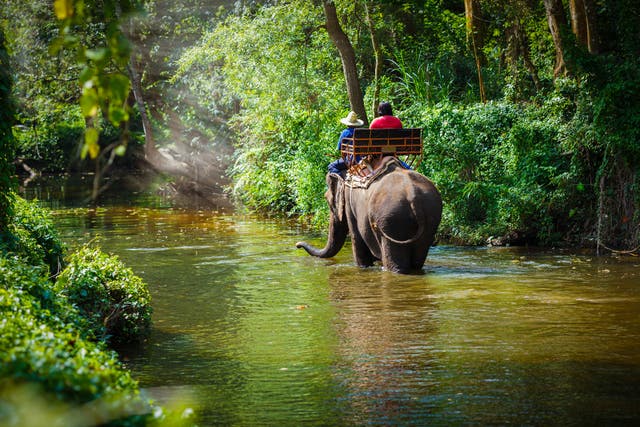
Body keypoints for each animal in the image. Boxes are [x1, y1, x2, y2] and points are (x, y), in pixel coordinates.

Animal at [296, 157, 442, 274]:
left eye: (327, 200)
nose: (297, 245)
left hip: (392, 220)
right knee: (418, 261)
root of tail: (413, 197)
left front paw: (362, 267)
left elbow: (356, 238)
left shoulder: (350, 204)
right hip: (430, 217)